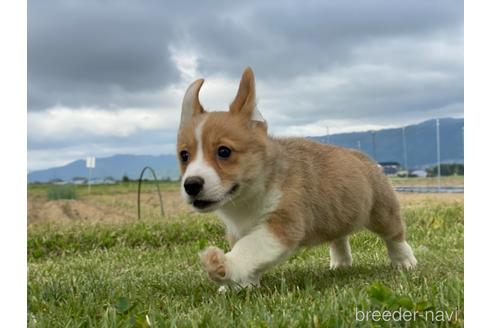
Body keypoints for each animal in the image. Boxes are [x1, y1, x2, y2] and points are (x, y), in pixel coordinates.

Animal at [176, 67, 416, 290]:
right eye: (184, 155)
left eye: (224, 151)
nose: (191, 185)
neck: (250, 195)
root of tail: (364, 157)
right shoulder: (238, 230)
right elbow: (247, 255)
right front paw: (241, 283)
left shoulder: (282, 225)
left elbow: (249, 247)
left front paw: (226, 265)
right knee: (339, 236)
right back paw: (341, 262)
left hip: (382, 210)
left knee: (394, 234)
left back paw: (404, 261)